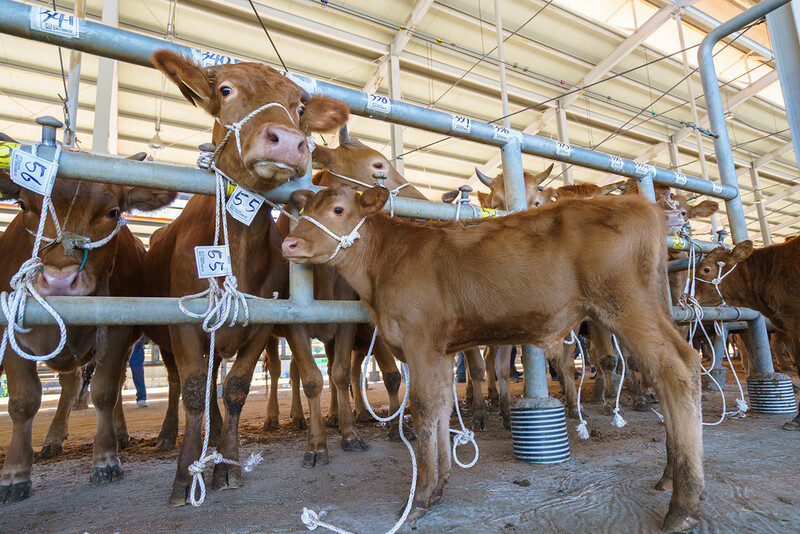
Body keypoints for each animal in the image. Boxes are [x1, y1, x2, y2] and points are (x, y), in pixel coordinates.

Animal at [0, 156, 177, 506]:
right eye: (24, 204)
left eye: (113, 212)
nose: (59, 280)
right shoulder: (9, 327)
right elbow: (23, 401)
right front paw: (14, 473)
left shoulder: (118, 332)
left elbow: (105, 392)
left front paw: (105, 459)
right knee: (69, 385)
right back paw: (53, 438)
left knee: (108, 384)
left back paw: (117, 435)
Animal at [142, 47, 348, 506]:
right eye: (225, 89)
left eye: (299, 107)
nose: (287, 141)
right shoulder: (183, 321)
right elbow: (195, 390)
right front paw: (185, 474)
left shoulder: (263, 321)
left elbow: (235, 388)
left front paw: (230, 465)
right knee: (183, 383)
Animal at [282, 186, 708, 532]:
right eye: (303, 210)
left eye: (337, 209)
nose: (289, 244)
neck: (383, 267)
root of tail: (643, 205)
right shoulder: (439, 350)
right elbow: (440, 407)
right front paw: (440, 485)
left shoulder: (420, 340)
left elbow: (422, 408)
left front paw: (419, 497)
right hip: (649, 303)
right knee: (668, 374)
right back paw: (670, 476)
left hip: (626, 303)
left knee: (678, 368)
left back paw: (683, 506)